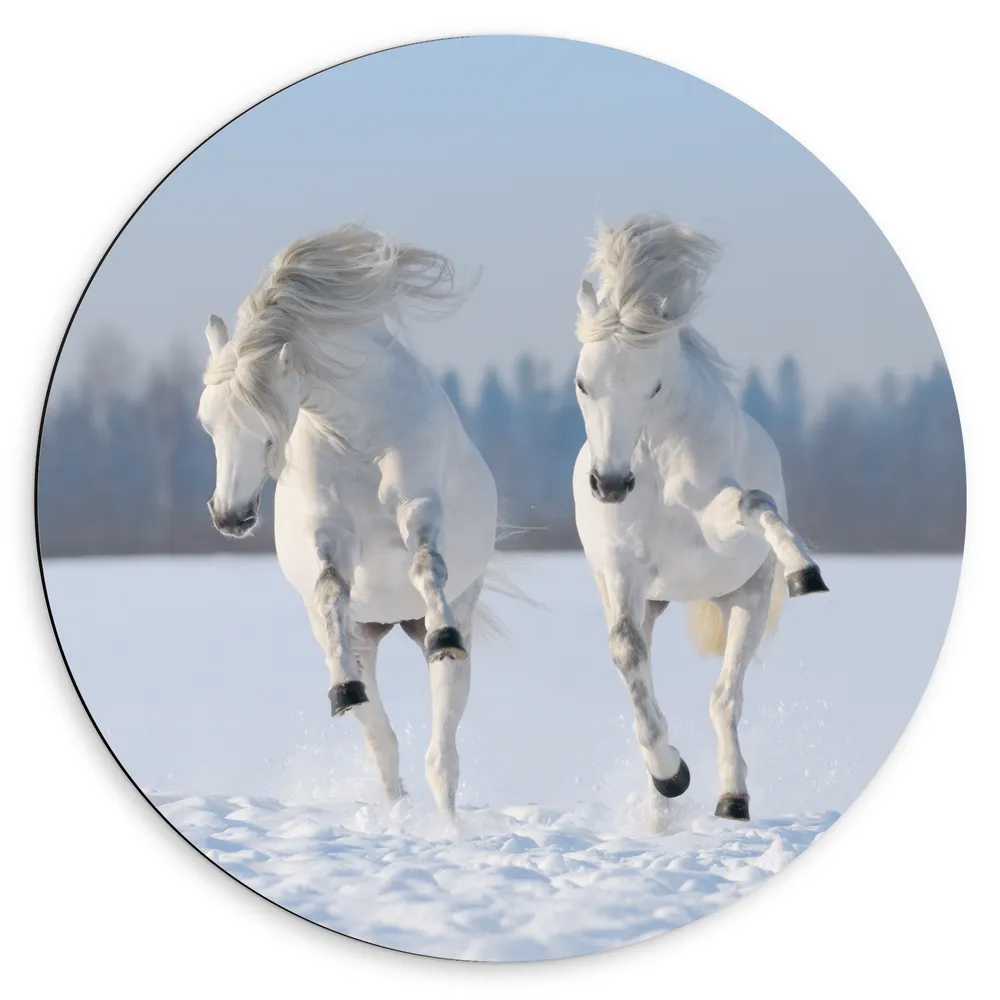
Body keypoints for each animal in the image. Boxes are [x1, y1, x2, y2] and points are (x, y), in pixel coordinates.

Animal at [196, 223, 498, 820]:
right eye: (207, 424)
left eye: (266, 428)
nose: (230, 516)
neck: (357, 434)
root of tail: (393, 622)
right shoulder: (329, 534)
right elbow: (331, 590)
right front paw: (341, 689)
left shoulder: (419, 507)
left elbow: (427, 565)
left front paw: (444, 631)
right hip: (365, 636)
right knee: (383, 745)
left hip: (452, 622)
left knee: (441, 752)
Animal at [571, 213, 829, 823]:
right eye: (583, 382)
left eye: (654, 385)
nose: (610, 484)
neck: (653, 460)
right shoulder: (622, 569)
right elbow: (626, 654)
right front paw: (670, 775)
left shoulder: (717, 524)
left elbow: (754, 502)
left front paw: (805, 570)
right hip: (651, 600)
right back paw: (661, 810)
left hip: (746, 600)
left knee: (725, 698)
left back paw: (732, 798)